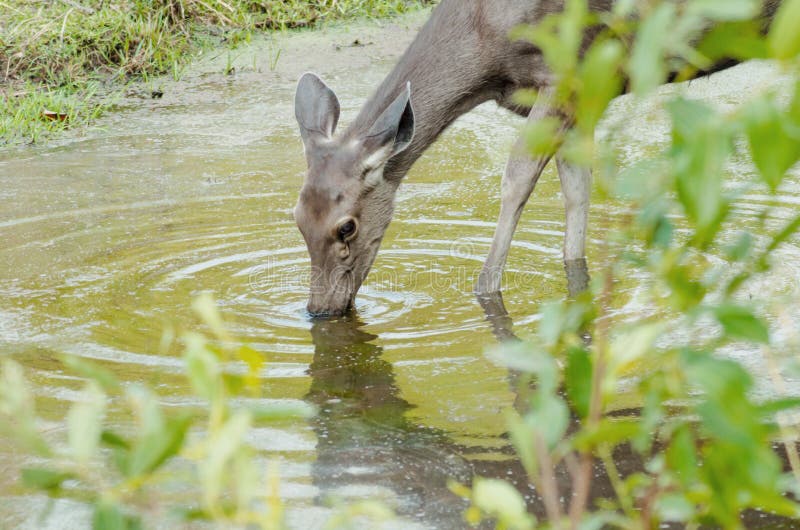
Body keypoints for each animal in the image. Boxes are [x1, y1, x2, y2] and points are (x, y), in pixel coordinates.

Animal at [293, 0, 778, 317]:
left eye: (346, 227)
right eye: (296, 218)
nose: (319, 308)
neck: (486, 53)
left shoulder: (568, 72)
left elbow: (517, 176)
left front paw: (486, 290)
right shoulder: (579, 100)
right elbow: (577, 189)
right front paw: (577, 284)